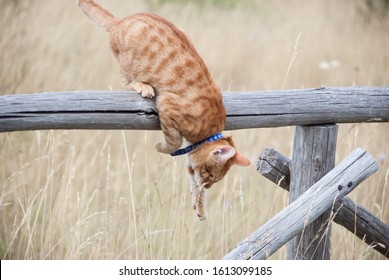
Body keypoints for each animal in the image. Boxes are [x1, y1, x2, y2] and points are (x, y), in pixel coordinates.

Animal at [77, 0, 250, 221]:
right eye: (210, 176)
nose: (209, 186)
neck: (208, 131)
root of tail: (121, 21)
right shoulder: (167, 106)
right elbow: (174, 141)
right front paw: (161, 146)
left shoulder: (190, 161)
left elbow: (194, 187)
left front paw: (201, 208)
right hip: (130, 62)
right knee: (127, 79)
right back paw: (143, 86)